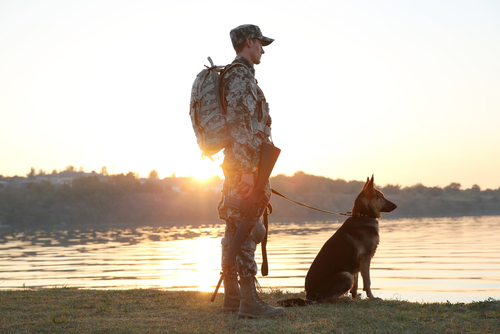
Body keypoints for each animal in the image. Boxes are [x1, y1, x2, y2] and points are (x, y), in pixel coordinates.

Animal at [280, 176, 396, 306]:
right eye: (381, 196)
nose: (396, 206)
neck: (363, 215)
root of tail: (309, 296)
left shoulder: (358, 263)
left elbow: (355, 285)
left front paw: (356, 298)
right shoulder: (366, 258)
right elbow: (367, 281)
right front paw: (371, 297)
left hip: (348, 274)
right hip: (346, 275)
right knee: (324, 300)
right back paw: (343, 299)